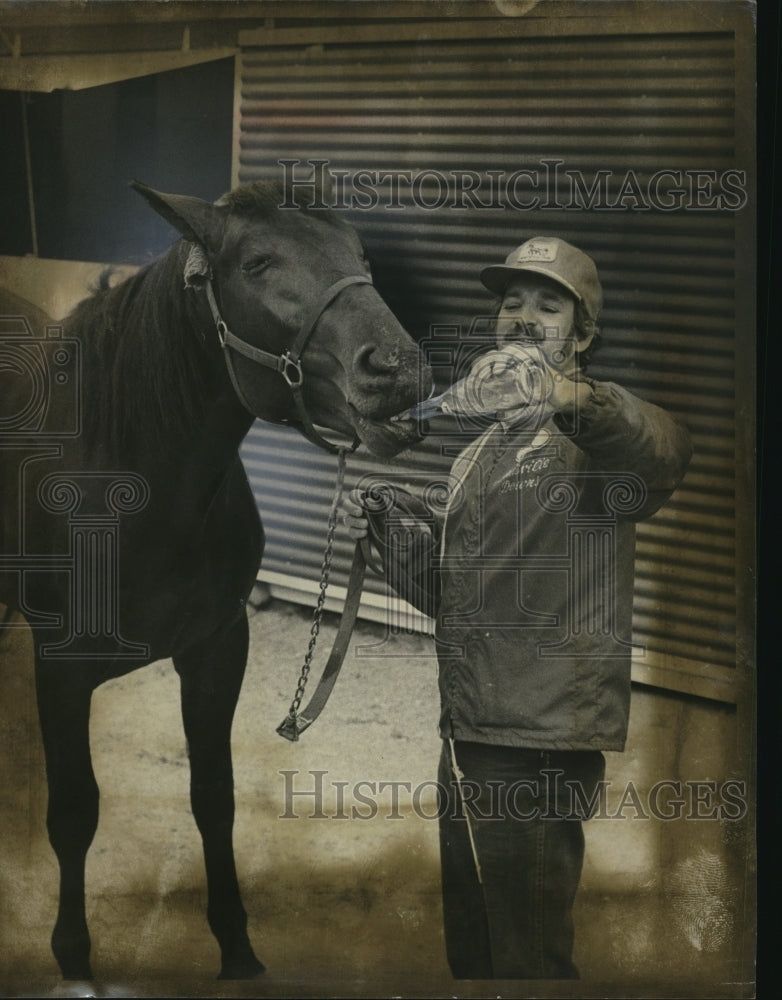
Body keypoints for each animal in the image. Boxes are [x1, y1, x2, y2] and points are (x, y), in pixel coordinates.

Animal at [0, 176, 434, 980]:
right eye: (258, 262)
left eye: (360, 254)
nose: (397, 368)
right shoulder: (60, 671)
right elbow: (73, 813)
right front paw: (73, 957)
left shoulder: (216, 648)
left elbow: (215, 799)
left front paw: (237, 950)